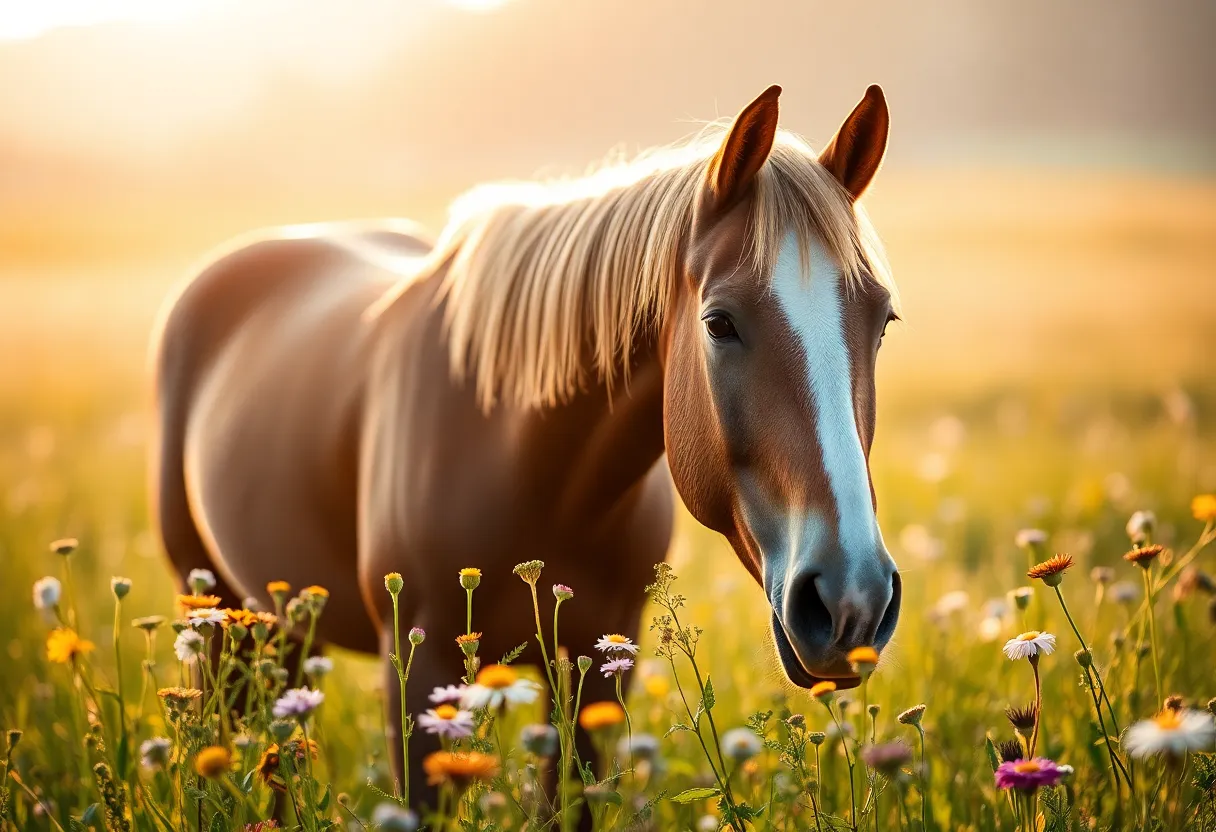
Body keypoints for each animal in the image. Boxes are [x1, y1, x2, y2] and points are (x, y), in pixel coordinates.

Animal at [150, 83, 901, 811]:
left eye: (884, 322)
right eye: (719, 323)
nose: (851, 602)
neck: (531, 467)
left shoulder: (601, 661)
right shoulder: (420, 671)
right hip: (218, 617)